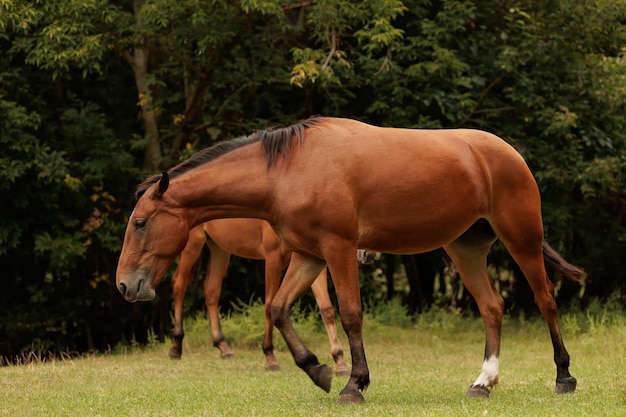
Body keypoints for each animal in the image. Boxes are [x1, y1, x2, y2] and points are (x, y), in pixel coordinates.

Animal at [167, 218, 346, 374]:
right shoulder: (273, 258)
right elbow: (269, 307)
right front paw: (270, 357)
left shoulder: (312, 259)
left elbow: (326, 308)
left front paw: (340, 362)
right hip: (193, 243)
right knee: (179, 285)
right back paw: (176, 347)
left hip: (219, 248)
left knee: (211, 289)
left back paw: (223, 347)